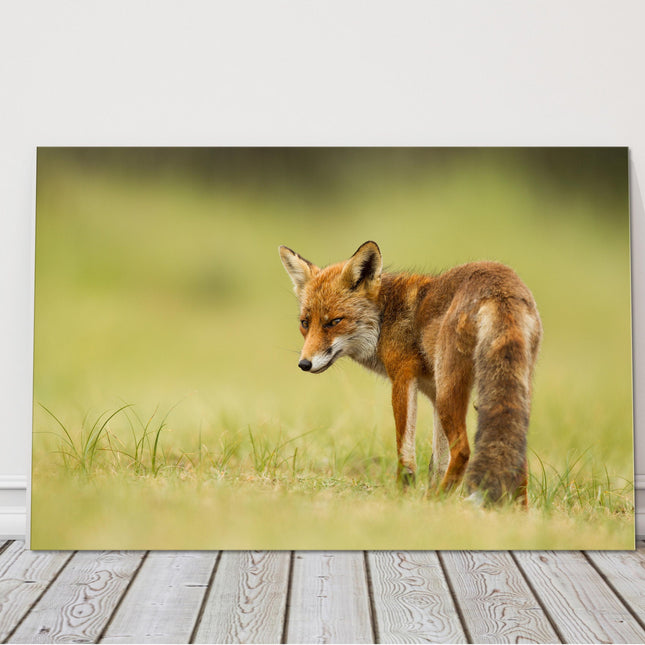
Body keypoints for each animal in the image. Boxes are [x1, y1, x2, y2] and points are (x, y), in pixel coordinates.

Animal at [279, 241, 542, 505]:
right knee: (517, 455)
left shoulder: (403, 377)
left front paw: (404, 495)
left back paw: (438, 500)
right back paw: (516, 510)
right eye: (304, 323)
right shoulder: (433, 394)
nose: (304, 363)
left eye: (334, 321)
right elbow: (437, 463)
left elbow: (405, 451)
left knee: (463, 450)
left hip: (450, 393)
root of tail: (501, 285)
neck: (384, 318)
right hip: (507, 391)